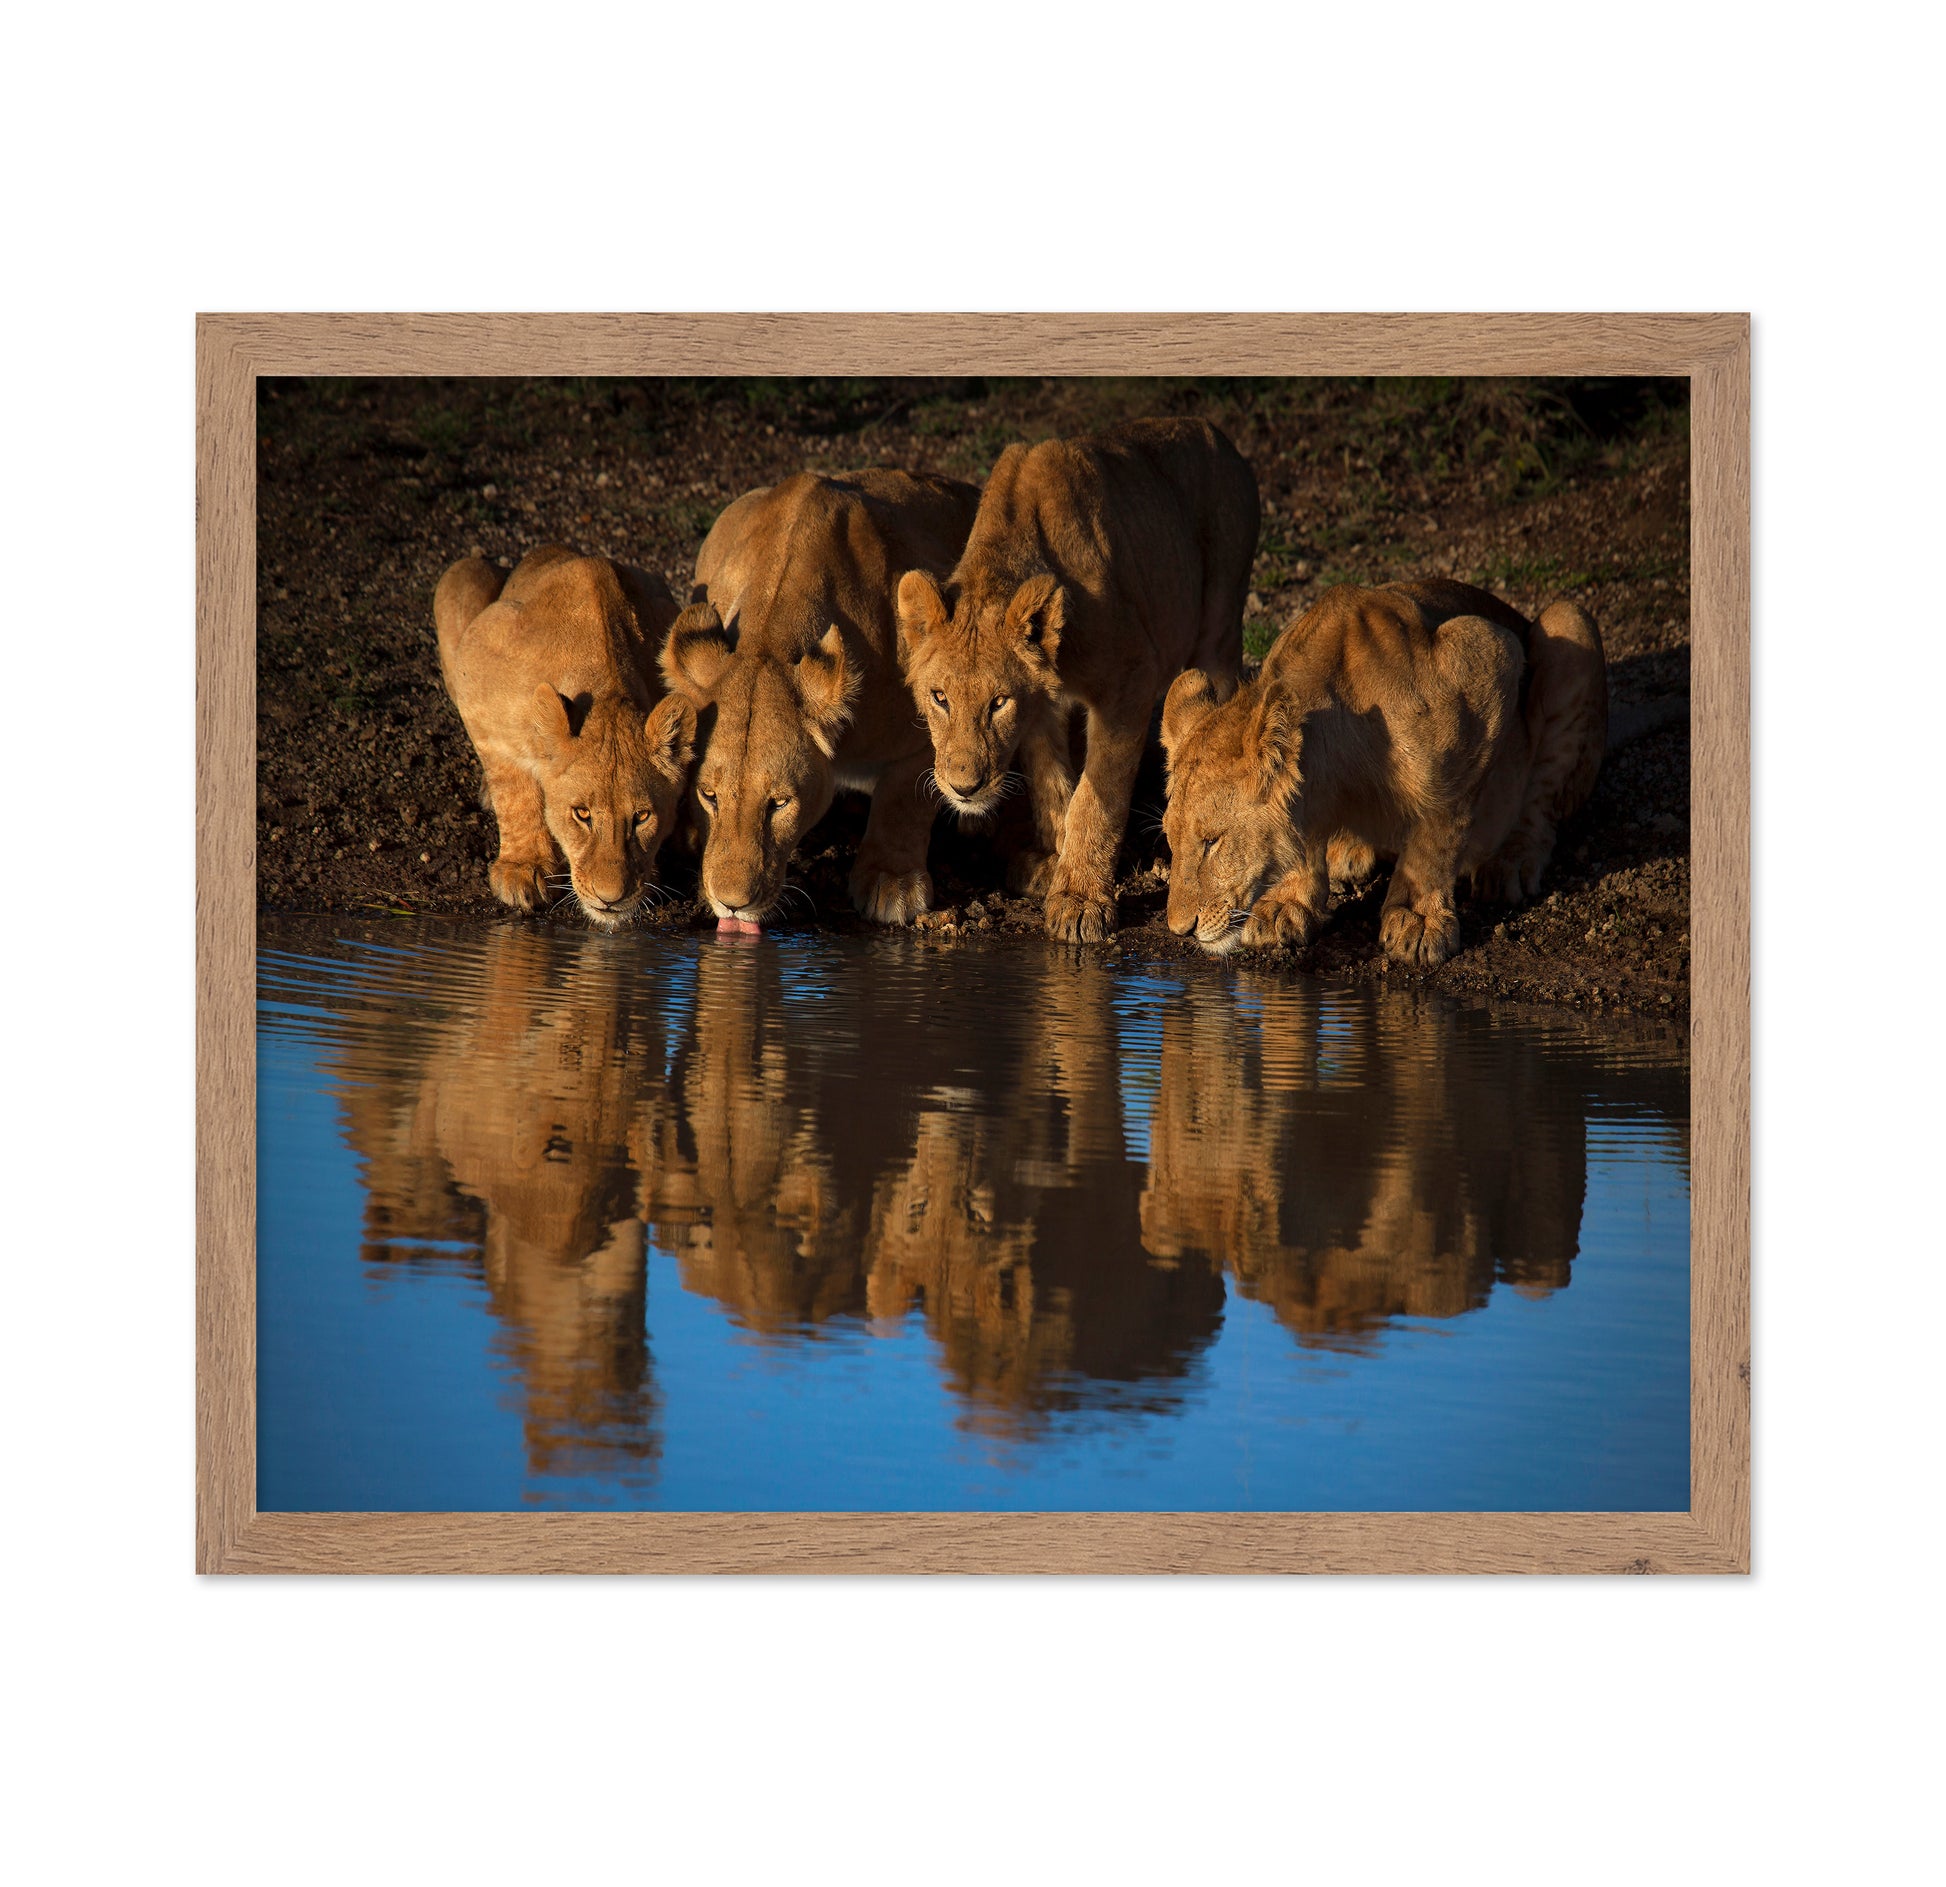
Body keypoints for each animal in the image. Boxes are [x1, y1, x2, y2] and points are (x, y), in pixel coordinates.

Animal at [434, 544, 699, 928]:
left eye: (642, 817)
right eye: (582, 814)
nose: (610, 899)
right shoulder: (476, 673)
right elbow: (513, 787)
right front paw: (523, 867)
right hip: (460, 576)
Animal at [659, 470, 978, 930]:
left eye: (779, 803)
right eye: (709, 795)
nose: (732, 903)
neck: (770, 636)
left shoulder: (929, 725)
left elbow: (904, 799)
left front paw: (893, 883)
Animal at [895, 417, 1259, 942]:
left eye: (998, 702)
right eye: (939, 697)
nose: (965, 788)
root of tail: (1216, 431)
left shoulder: (1131, 677)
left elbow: (1097, 793)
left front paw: (1081, 898)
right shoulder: (1042, 704)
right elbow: (1051, 779)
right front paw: (1053, 860)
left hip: (1221, 619)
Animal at [1159, 578, 1606, 967]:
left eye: (1212, 841)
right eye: (1170, 839)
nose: (1180, 930)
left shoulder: (1488, 657)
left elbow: (1440, 825)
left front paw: (1419, 918)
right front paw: (1289, 902)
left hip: (1569, 623)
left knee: (1542, 803)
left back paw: (1509, 862)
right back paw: (1349, 852)